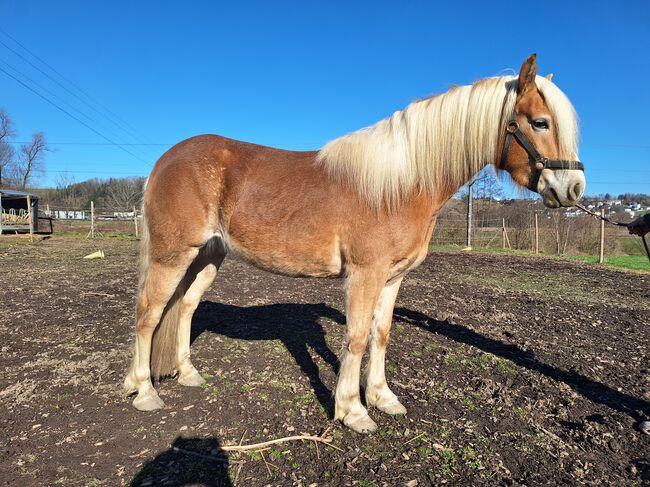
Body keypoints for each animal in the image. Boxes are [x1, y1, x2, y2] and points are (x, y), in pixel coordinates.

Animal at [124, 54, 584, 434]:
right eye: (540, 122)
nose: (574, 189)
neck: (399, 184)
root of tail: (164, 160)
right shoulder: (365, 274)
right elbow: (357, 337)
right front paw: (353, 411)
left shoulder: (392, 278)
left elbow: (380, 335)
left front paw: (382, 397)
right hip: (172, 255)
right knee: (149, 313)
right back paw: (144, 392)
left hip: (208, 257)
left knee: (184, 308)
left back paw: (187, 374)